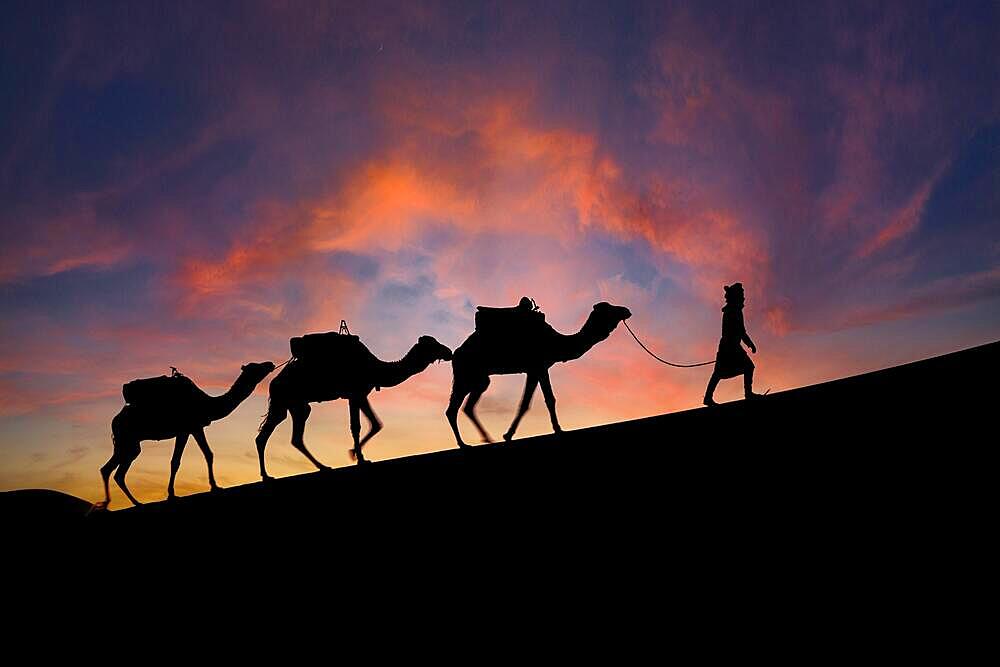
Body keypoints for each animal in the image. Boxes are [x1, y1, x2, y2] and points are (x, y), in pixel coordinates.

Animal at [97, 362, 274, 508]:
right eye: (255, 367)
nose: (269, 364)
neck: (208, 404)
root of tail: (114, 420)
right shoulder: (187, 429)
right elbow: (176, 461)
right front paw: (172, 494)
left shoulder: (194, 429)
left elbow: (208, 454)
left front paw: (215, 486)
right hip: (127, 440)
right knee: (113, 471)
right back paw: (120, 503)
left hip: (129, 444)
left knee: (112, 471)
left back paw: (131, 502)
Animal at [256, 334, 452, 474]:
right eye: (433, 345)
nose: (448, 351)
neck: (375, 368)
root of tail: (273, 383)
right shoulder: (355, 392)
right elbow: (359, 426)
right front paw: (357, 456)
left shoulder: (360, 394)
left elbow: (374, 423)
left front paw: (359, 456)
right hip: (285, 400)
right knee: (274, 435)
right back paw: (269, 475)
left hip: (294, 405)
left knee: (287, 435)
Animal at [448, 302, 628, 448]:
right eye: (608, 308)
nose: (626, 310)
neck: (556, 342)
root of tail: (456, 353)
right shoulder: (539, 366)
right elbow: (545, 399)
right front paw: (557, 430)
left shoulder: (535, 370)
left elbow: (529, 402)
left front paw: (508, 435)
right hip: (466, 374)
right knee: (452, 409)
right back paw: (463, 444)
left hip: (480, 379)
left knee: (467, 406)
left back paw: (485, 439)